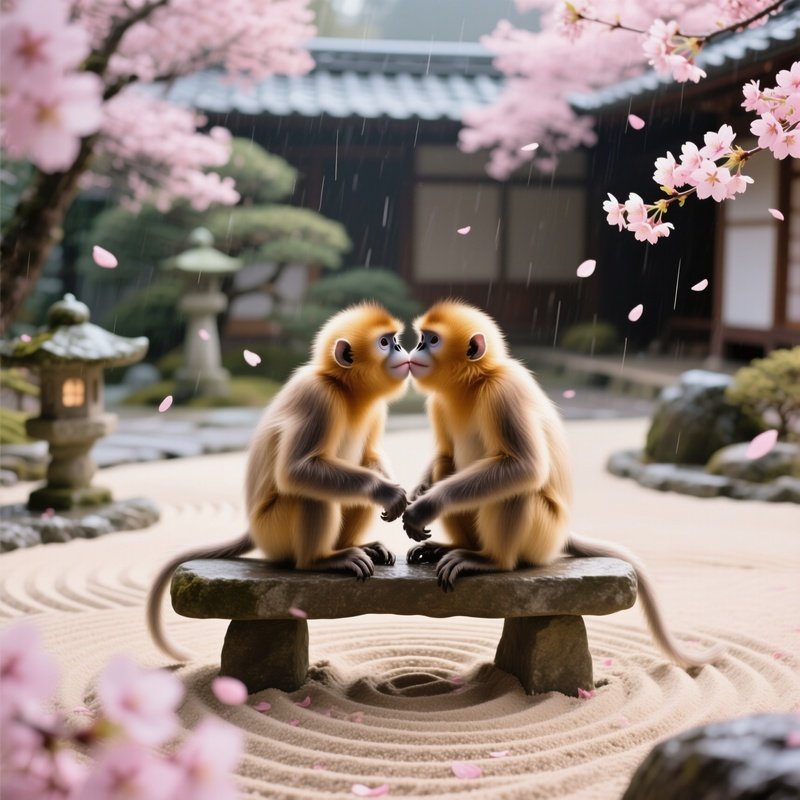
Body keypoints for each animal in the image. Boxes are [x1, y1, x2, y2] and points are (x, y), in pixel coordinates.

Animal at [147, 302, 411, 661]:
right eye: (385, 342)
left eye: (394, 339)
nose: (399, 348)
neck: (345, 389)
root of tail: (254, 528)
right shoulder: (318, 397)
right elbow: (296, 471)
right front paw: (387, 492)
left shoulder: (375, 410)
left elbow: (370, 455)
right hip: (274, 532)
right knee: (311, 494)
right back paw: (322, 560)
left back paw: (357, 547)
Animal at [402, 299, 722, 670]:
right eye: (422, 338)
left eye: (432, 340)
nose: (416, 349)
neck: (472, 384)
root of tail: (561, 533)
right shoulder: (438, 402)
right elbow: (443, 454)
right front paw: (418, 493)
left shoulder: (504, 391)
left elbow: (524, 467)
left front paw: (426, 505)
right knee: (449, 464)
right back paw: (451, 547)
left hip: (542, 534)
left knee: (517, 488)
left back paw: (491, 561)